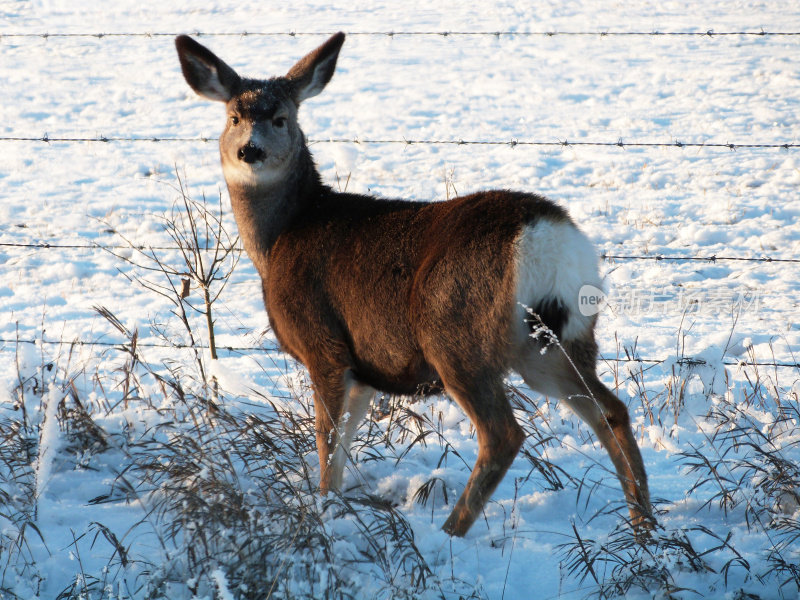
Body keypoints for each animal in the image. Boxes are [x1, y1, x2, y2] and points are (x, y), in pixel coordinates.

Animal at [177, 32, 656, 536]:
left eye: (280, 118)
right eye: (233, 117)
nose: (250, 151)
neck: (280, 238)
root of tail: (546, 238)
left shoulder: (323, 343)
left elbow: (326, 438)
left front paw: (323, 510)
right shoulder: (365, 366)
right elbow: (344, 442)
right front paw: (337, 502)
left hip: (457, 333)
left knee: (504, 434)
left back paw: (450, 533)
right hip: (558, 341)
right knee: (611, 410)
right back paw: (643, 524)